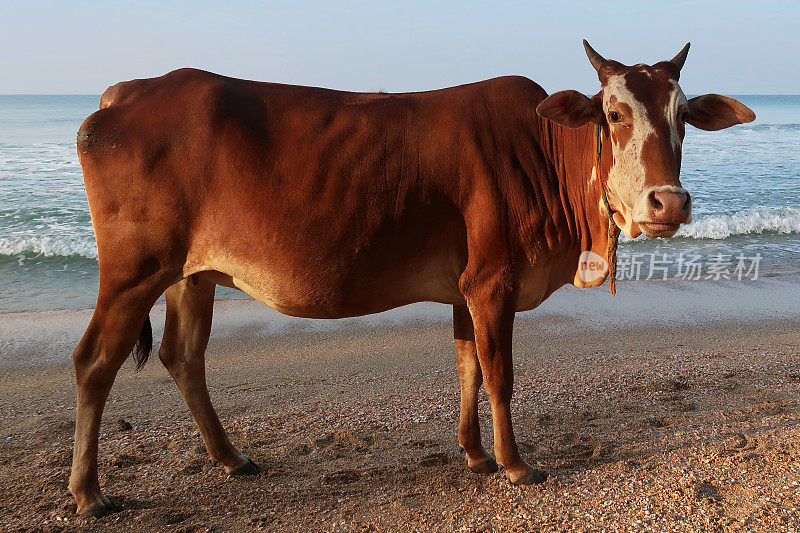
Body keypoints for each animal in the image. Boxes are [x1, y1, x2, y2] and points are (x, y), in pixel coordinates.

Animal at [70, 39, 756, 512]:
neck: (546, 154)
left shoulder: (467, 288)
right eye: (613, 115)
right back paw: (88, 491)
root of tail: (123, 94)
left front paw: (476, 454)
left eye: (684, 115)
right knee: (94, 362)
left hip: (191, 275)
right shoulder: (493, 282)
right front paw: (515, 463)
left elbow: (468, 366)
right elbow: (500, 374)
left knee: (183, 355)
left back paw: (231, 457)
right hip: (134, 271)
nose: (668, 204)